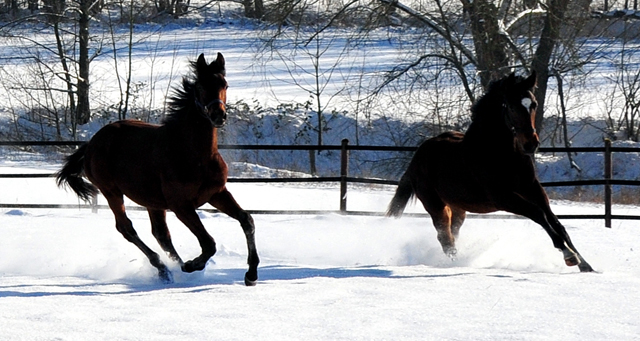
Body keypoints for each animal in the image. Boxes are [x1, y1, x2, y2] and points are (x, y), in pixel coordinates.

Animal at [55, 51, 260, 282]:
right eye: (200, 86)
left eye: (225, 84)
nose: (218, 115)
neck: (195, 155)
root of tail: (91, 144)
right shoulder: (181, 206)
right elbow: (208, 244)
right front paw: (193, 265)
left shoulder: (217, 193)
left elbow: (247, 220)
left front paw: (251, 274)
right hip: (111, 191)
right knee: (127, 228)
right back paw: (165, 268)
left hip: (151, 200)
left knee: (161, 234)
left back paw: (173, 268)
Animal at [390, 71, 596, 270]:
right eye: (511, 107)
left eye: (534, 104)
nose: (531, 144)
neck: (501, 153)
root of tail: (417, 157)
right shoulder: (503, 197)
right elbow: (538, 214)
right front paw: (569, 256)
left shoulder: (533, 189)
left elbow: (556, 223)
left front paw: (585, 264)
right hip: (435, 205)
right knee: (444, 238)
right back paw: (456, 263)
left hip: (458, 207)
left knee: (452, 233)